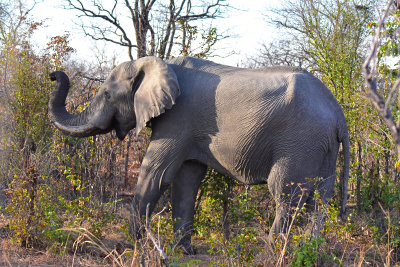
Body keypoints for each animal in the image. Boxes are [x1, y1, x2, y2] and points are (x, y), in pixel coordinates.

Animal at [47, 56, 350, 253]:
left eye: (107, 95)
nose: (53, 74)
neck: (159, 63)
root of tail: (338, 113)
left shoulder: (178, 119)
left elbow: (157, 172)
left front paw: (135, 245)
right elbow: (186, 179)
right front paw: (182, 252)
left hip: (300, 143)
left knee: (286, 195)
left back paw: (272, 252)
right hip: (323, 148)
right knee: (320, 200)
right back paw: (311, 251)